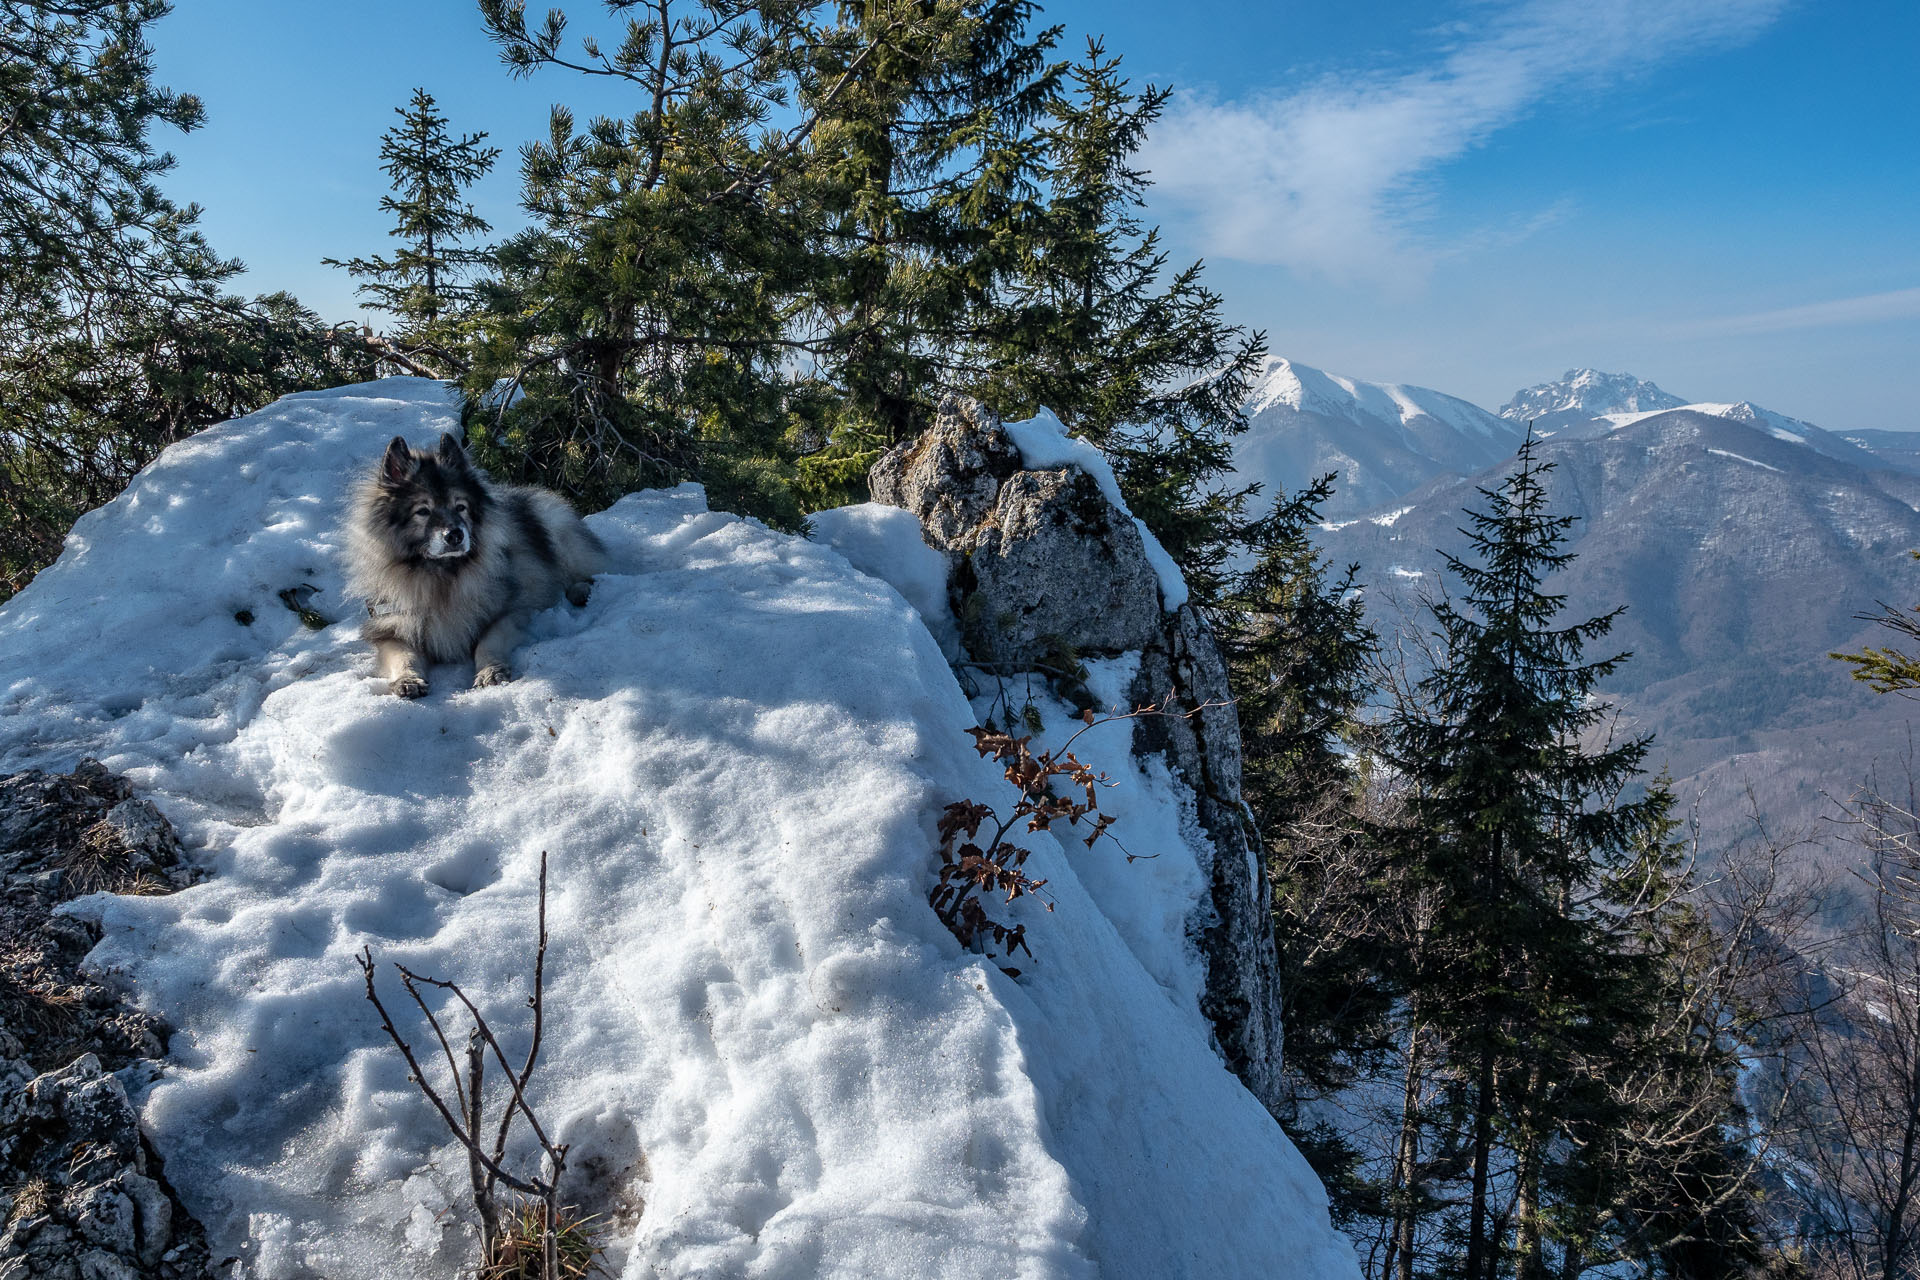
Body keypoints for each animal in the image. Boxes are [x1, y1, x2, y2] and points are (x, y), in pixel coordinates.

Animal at [341, 437, 602, 702]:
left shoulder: (507, 613)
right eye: (423, 511)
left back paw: (581, 591)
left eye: (460, 507)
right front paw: (408, 680)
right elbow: (404, 656)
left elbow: (488, 641)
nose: (455, 534)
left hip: (558, 532)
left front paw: (491, 671)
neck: (441, 577)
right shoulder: (390, 630)